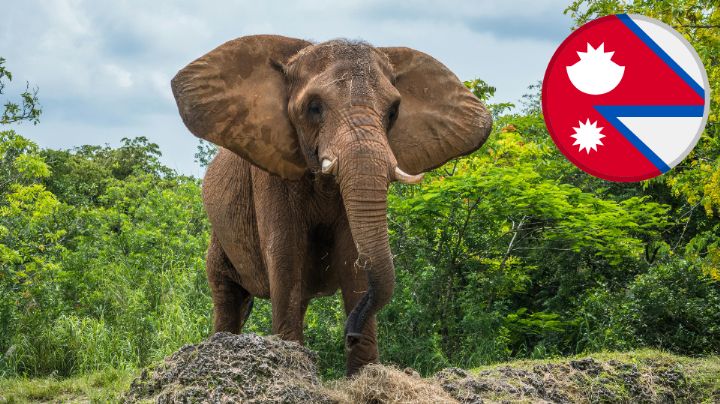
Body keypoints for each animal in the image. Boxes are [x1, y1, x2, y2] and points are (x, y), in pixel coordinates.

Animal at [171, 35, 492, 376]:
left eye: (393, 111)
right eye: (314, 108)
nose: (350, 334)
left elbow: (354, 256)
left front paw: (363, 375)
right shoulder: (271, 173)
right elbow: (285, 254)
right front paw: (293, 369)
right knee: (227, 295)